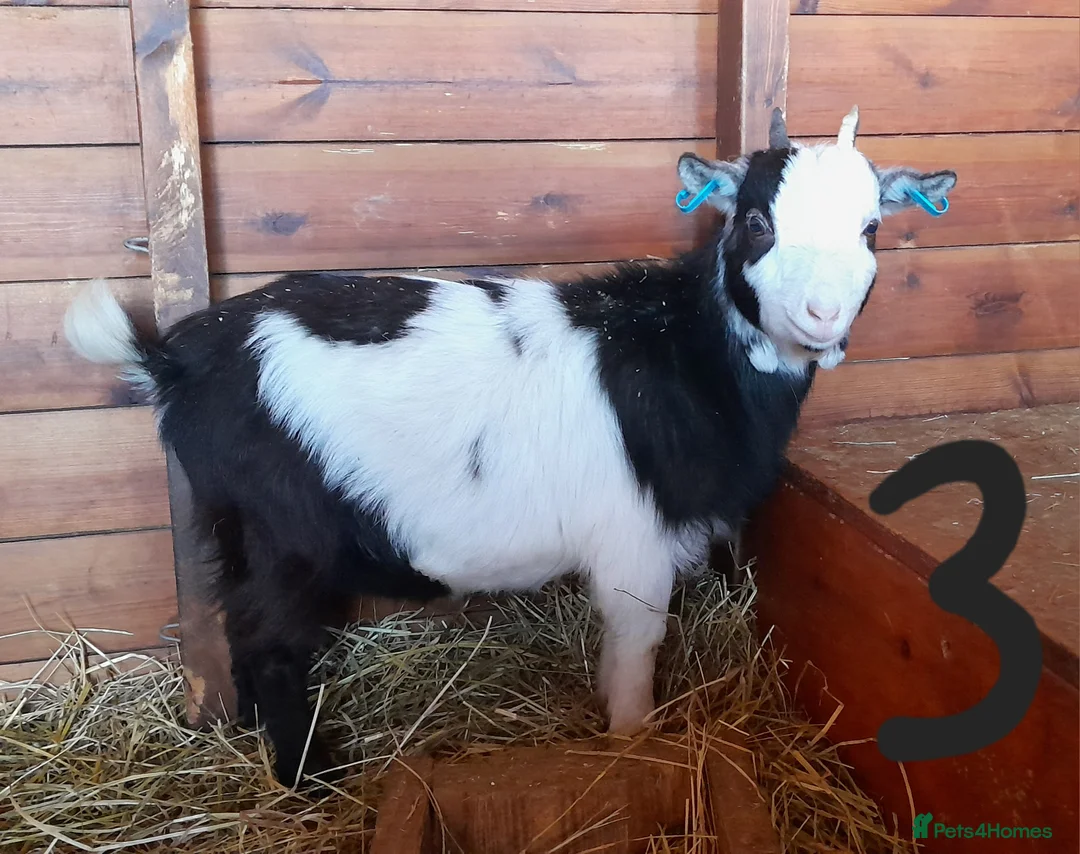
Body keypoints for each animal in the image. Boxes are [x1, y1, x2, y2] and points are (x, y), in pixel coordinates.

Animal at [64, 107, 956, 786]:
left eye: (872, 228)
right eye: (759, 222)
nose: (821, 316)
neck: (685, 352)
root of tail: (176, 359)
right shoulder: (634, 546)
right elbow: (634, 656)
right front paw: (632, 745)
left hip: (234, 527)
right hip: (284, 535)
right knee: (275, 646)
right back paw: (310, 777)